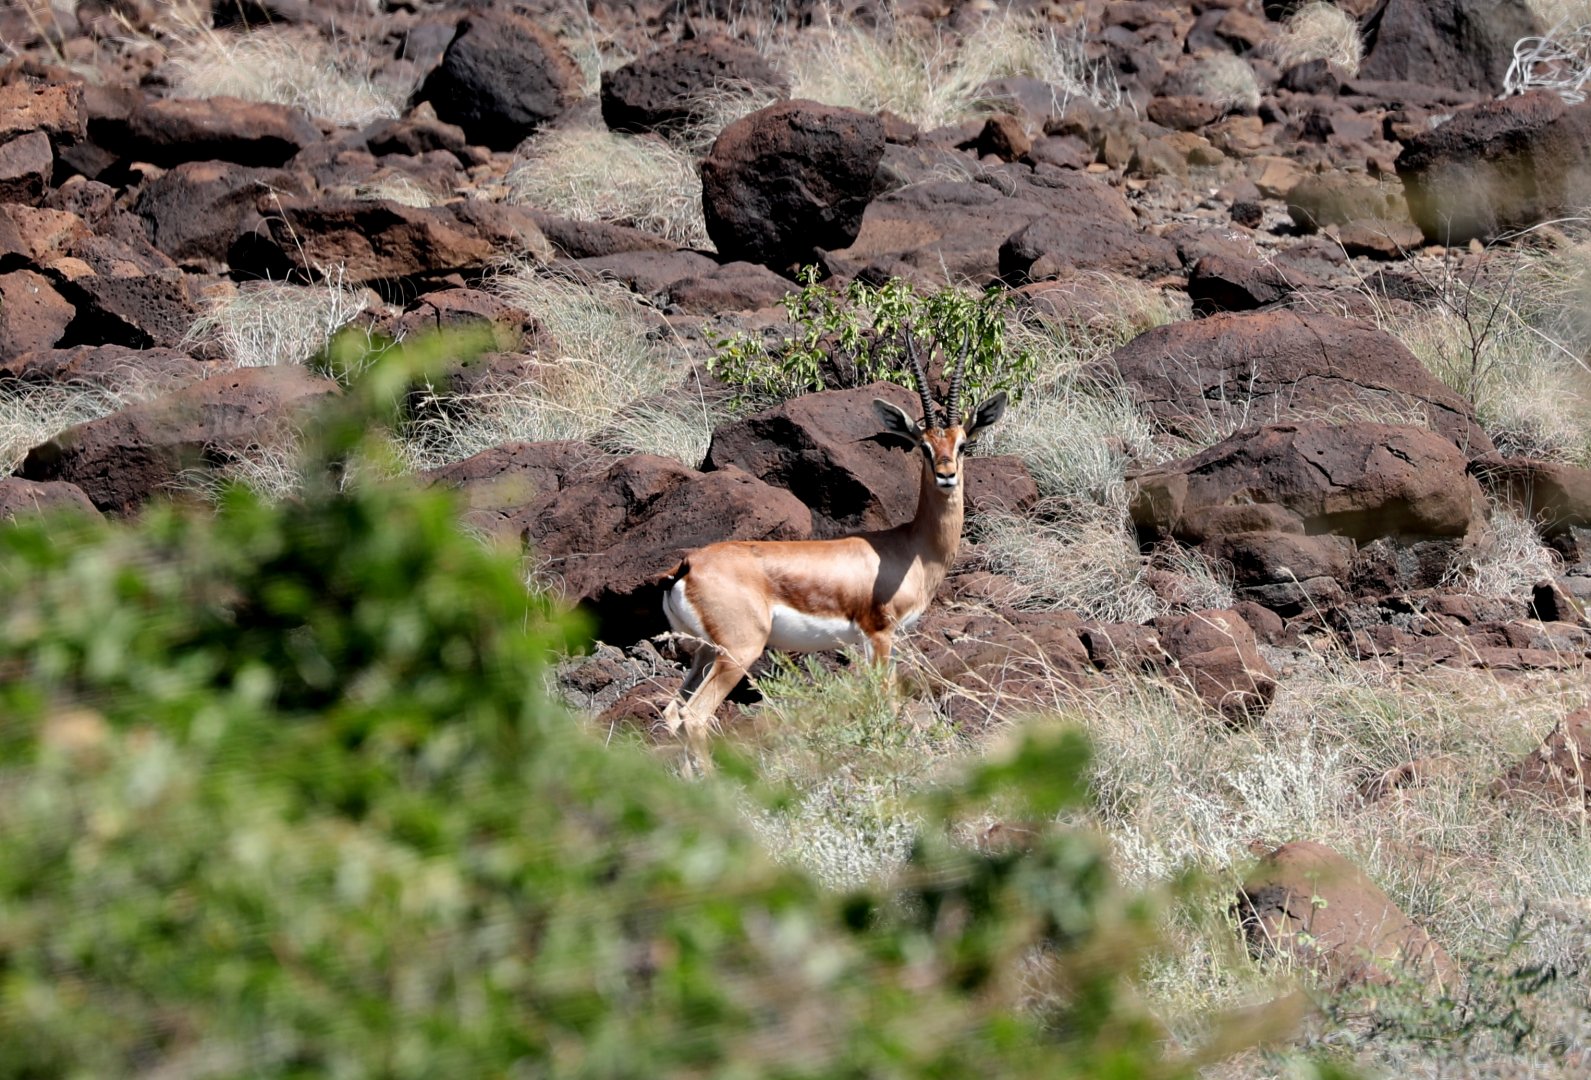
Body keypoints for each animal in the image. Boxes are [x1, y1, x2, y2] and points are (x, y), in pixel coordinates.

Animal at [661, 333, 1007, 767]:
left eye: (962, 444)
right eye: (923, 447)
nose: (946, 476)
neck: (910, 548)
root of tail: (687, 567)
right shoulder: (880, 635)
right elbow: (886, 701)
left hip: (705, 654)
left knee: (672, 713)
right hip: (738, 652)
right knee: (694, 716)